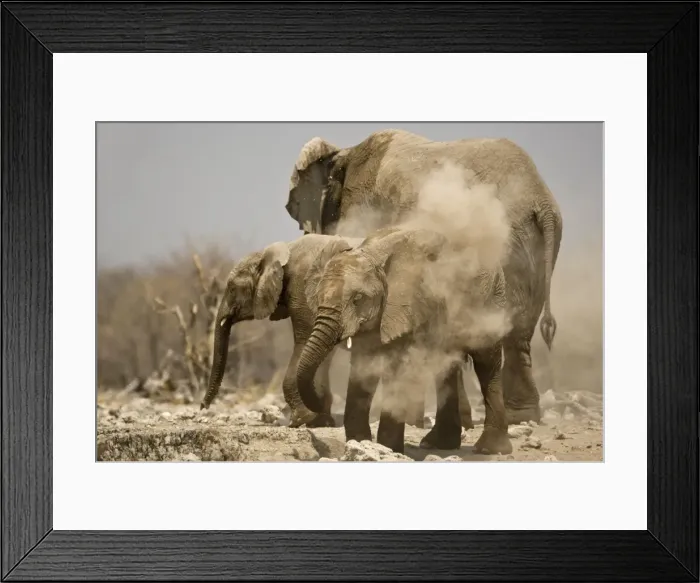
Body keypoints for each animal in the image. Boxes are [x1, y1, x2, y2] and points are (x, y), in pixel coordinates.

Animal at [200, 234, 364, 428]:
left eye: (232, 288)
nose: (202, 406)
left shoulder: (302, 289)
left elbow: (305, 340)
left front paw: (303, 419)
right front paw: (321, 420)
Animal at [285, 128, 563, 423]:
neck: (343, 154)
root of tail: (541, 200)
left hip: (510, 240)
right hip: (531, 244)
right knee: (516, 330)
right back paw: (520, 417)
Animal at [295, 226, 513, 456]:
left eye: (357, 299)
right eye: (318, 297)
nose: (322, 402)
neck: (372, 254)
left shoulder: (405, 306)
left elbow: (397, 366)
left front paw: (387, 448)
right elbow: (364, 368)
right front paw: (360, 443)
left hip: (490, 300)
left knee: (487, 363)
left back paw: (490, 449)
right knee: (445, 369)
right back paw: (437, 444)